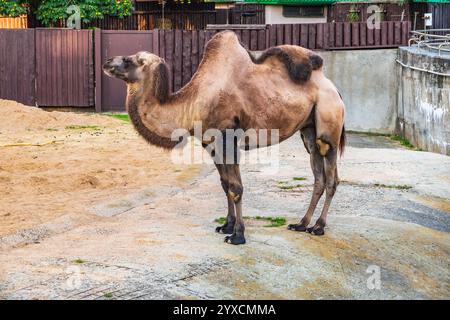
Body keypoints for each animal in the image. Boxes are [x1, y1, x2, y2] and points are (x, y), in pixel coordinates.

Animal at [103, 30, 346, 245]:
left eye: (130, 60)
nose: (107, 62)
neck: (195, 103)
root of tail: (334, 88)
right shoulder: (211, 143)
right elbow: (224, 183)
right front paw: (226, 226)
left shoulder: (229, 138)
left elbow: (236, 187)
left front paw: (238, 235)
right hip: (308, 131)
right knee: (318, 175)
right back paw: (302, 224)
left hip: (328, 124)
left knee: (331, 176)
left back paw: (319, 226)